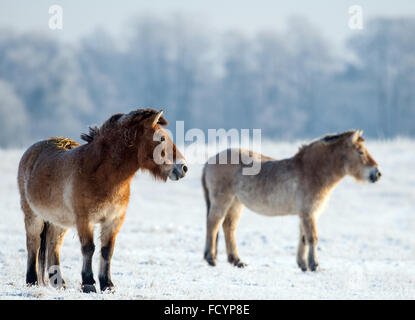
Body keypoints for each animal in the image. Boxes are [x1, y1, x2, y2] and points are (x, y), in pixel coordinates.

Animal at [17, 108, 187, 292]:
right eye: (162, 138)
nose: (183, 167)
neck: (103, 174)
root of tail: (31, 151)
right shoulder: (85, 220)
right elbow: (89, 248)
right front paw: (88, 283)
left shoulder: (113, 220)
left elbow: (107, 250)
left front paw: (107, 284)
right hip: (32, 215)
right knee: (33, 244)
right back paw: (32, 280)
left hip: (59, 221)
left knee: (53, 244)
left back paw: (59, 283)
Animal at [203, 131, 382, 272]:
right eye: (360, 152)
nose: (377, 173)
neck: (312, 171)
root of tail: (209, 161)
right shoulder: (308, 212)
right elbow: (312, 238)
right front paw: (314, 265)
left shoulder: (306, 214)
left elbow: (303, 237)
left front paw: (303, 264)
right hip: (223, 200)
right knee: (213, 224)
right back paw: (211, 259)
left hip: (236, 203)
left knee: (228, 227)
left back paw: (237, 261)